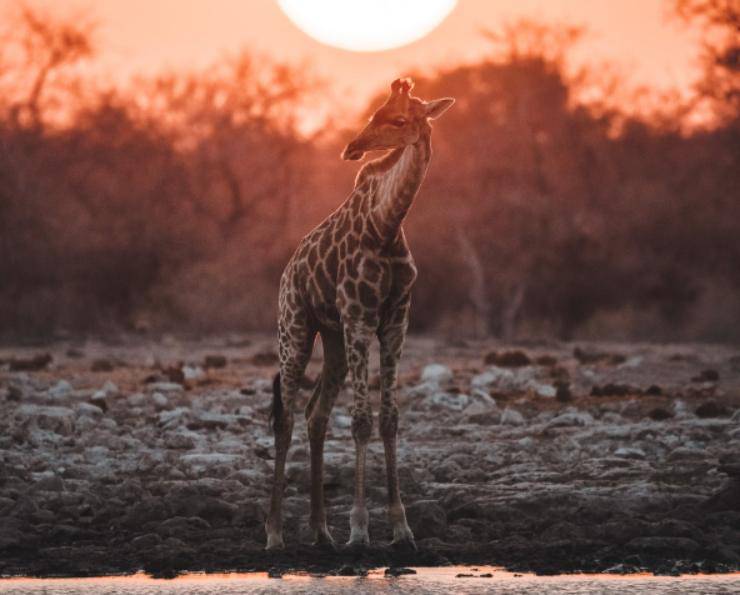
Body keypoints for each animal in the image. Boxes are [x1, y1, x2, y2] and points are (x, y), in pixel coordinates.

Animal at [265, 78, 454, 550]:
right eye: (374, 113)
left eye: (399, 119)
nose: (352, 147)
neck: (385, 227)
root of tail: (287, 270)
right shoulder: (358, 317)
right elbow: (362, 421)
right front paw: (359, 527)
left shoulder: (395, 322)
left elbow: (389, 420)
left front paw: (401, 527)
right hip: (295, 327)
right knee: (286, 417)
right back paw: (275, 533)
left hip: (331, 339)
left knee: (315, 415)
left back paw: (320, 530)